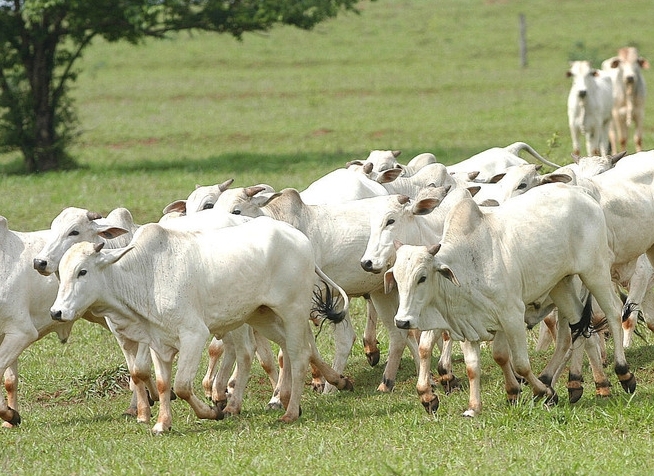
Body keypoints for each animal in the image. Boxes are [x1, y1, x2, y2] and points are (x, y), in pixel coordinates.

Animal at [52, 218, 356, 434]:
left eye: (82, 271)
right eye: (61, 274)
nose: (57, 312)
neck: (146, 276)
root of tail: (299, 238)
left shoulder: (193, 336)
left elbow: (183, 386)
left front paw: (213, 412)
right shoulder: (157, 342)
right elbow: (162, 383)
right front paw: (162, 423)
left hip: (292, 311)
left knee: (298, 354)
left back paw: (290, 411)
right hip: (262, 315)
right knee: (292, 349)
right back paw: (331, 383)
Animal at [384, 183, 636, 416]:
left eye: (422, 277)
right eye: (396, 278)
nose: (402, 321)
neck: (469, 262)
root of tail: (581, 194)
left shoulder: (512, 316)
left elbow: (521, 364)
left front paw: (544, 393)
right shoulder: (469, 324)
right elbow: (475, 366)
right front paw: (474, 407)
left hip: (595, 271)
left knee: (613, 312)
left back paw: (623, 373)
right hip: (561, 286)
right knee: (578, 329)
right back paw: (581, 385)